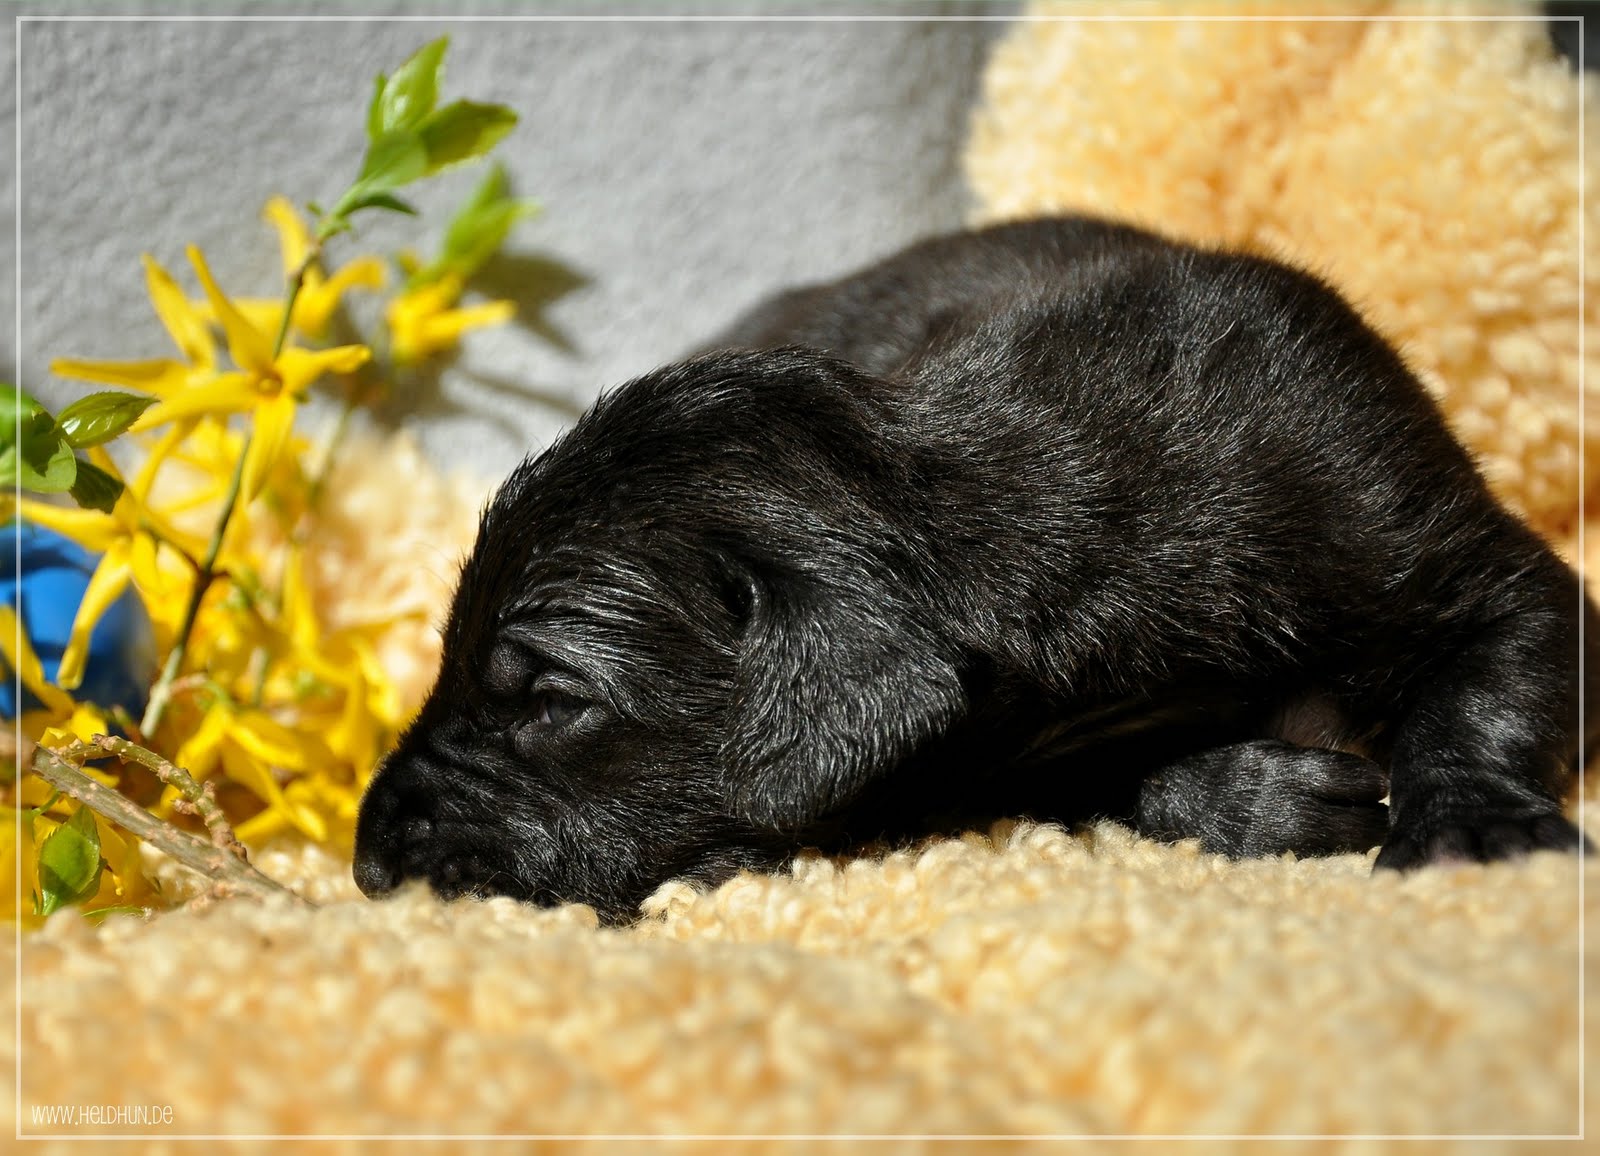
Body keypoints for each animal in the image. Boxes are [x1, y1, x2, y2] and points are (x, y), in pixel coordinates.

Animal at [353, 216, 1594, 924]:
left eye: (550, 701)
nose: (366, 864)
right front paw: (1251, 794)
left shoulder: (1386, 493)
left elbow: (1501, 649)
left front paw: (1469, 825)